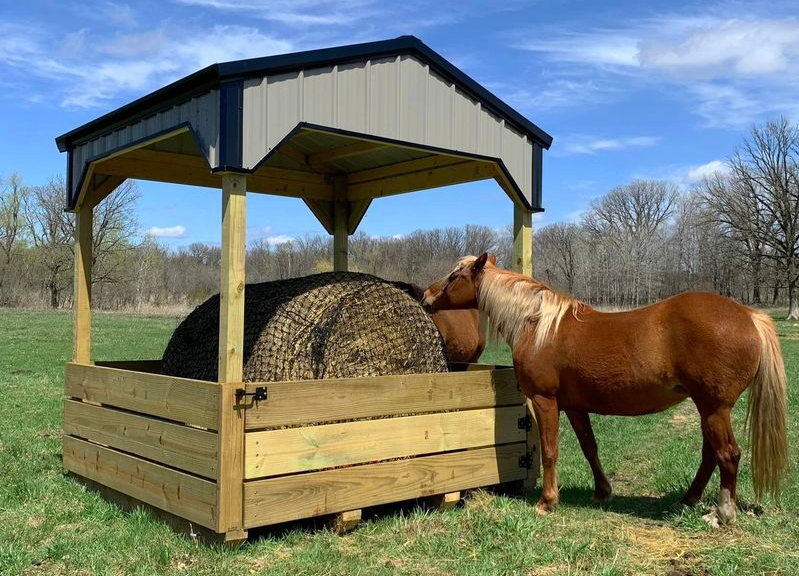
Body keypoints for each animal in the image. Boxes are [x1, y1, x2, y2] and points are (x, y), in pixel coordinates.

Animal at [424, 253, 788, 528]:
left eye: (455, 276)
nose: (426, 297)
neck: (538, 325)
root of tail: (749, 316)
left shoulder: (545, 401)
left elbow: (550, 451)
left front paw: (547, 502)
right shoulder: (575, 406)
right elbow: (590, 448)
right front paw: (602, 492)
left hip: (714, 408)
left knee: (728, 455)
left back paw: (721, 514)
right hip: (708, 409)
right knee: (711, 454)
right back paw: (687, 500)